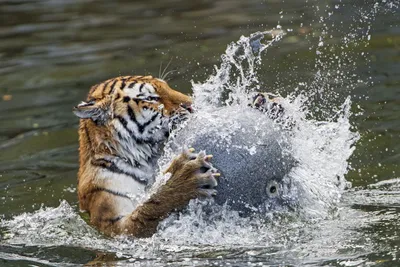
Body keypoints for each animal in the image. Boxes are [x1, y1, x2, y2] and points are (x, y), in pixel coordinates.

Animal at [73, 76, 220, 239]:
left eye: (167, 87)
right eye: (150, 98)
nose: (192, 104)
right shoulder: (115, 228)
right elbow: (151, 207)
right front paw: (186, 176)